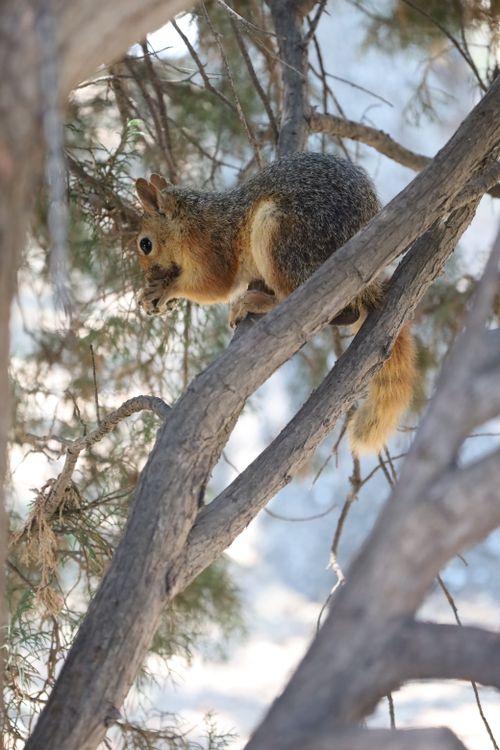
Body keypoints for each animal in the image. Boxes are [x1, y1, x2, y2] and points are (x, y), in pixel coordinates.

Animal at [134, 152, 416, 456]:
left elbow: (214, 286)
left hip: (281, 236)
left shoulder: (211, 251)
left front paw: (165, 289)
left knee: (301, 295)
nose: (149, 277)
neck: (192, 218)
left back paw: (256, 301)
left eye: (145, 244)